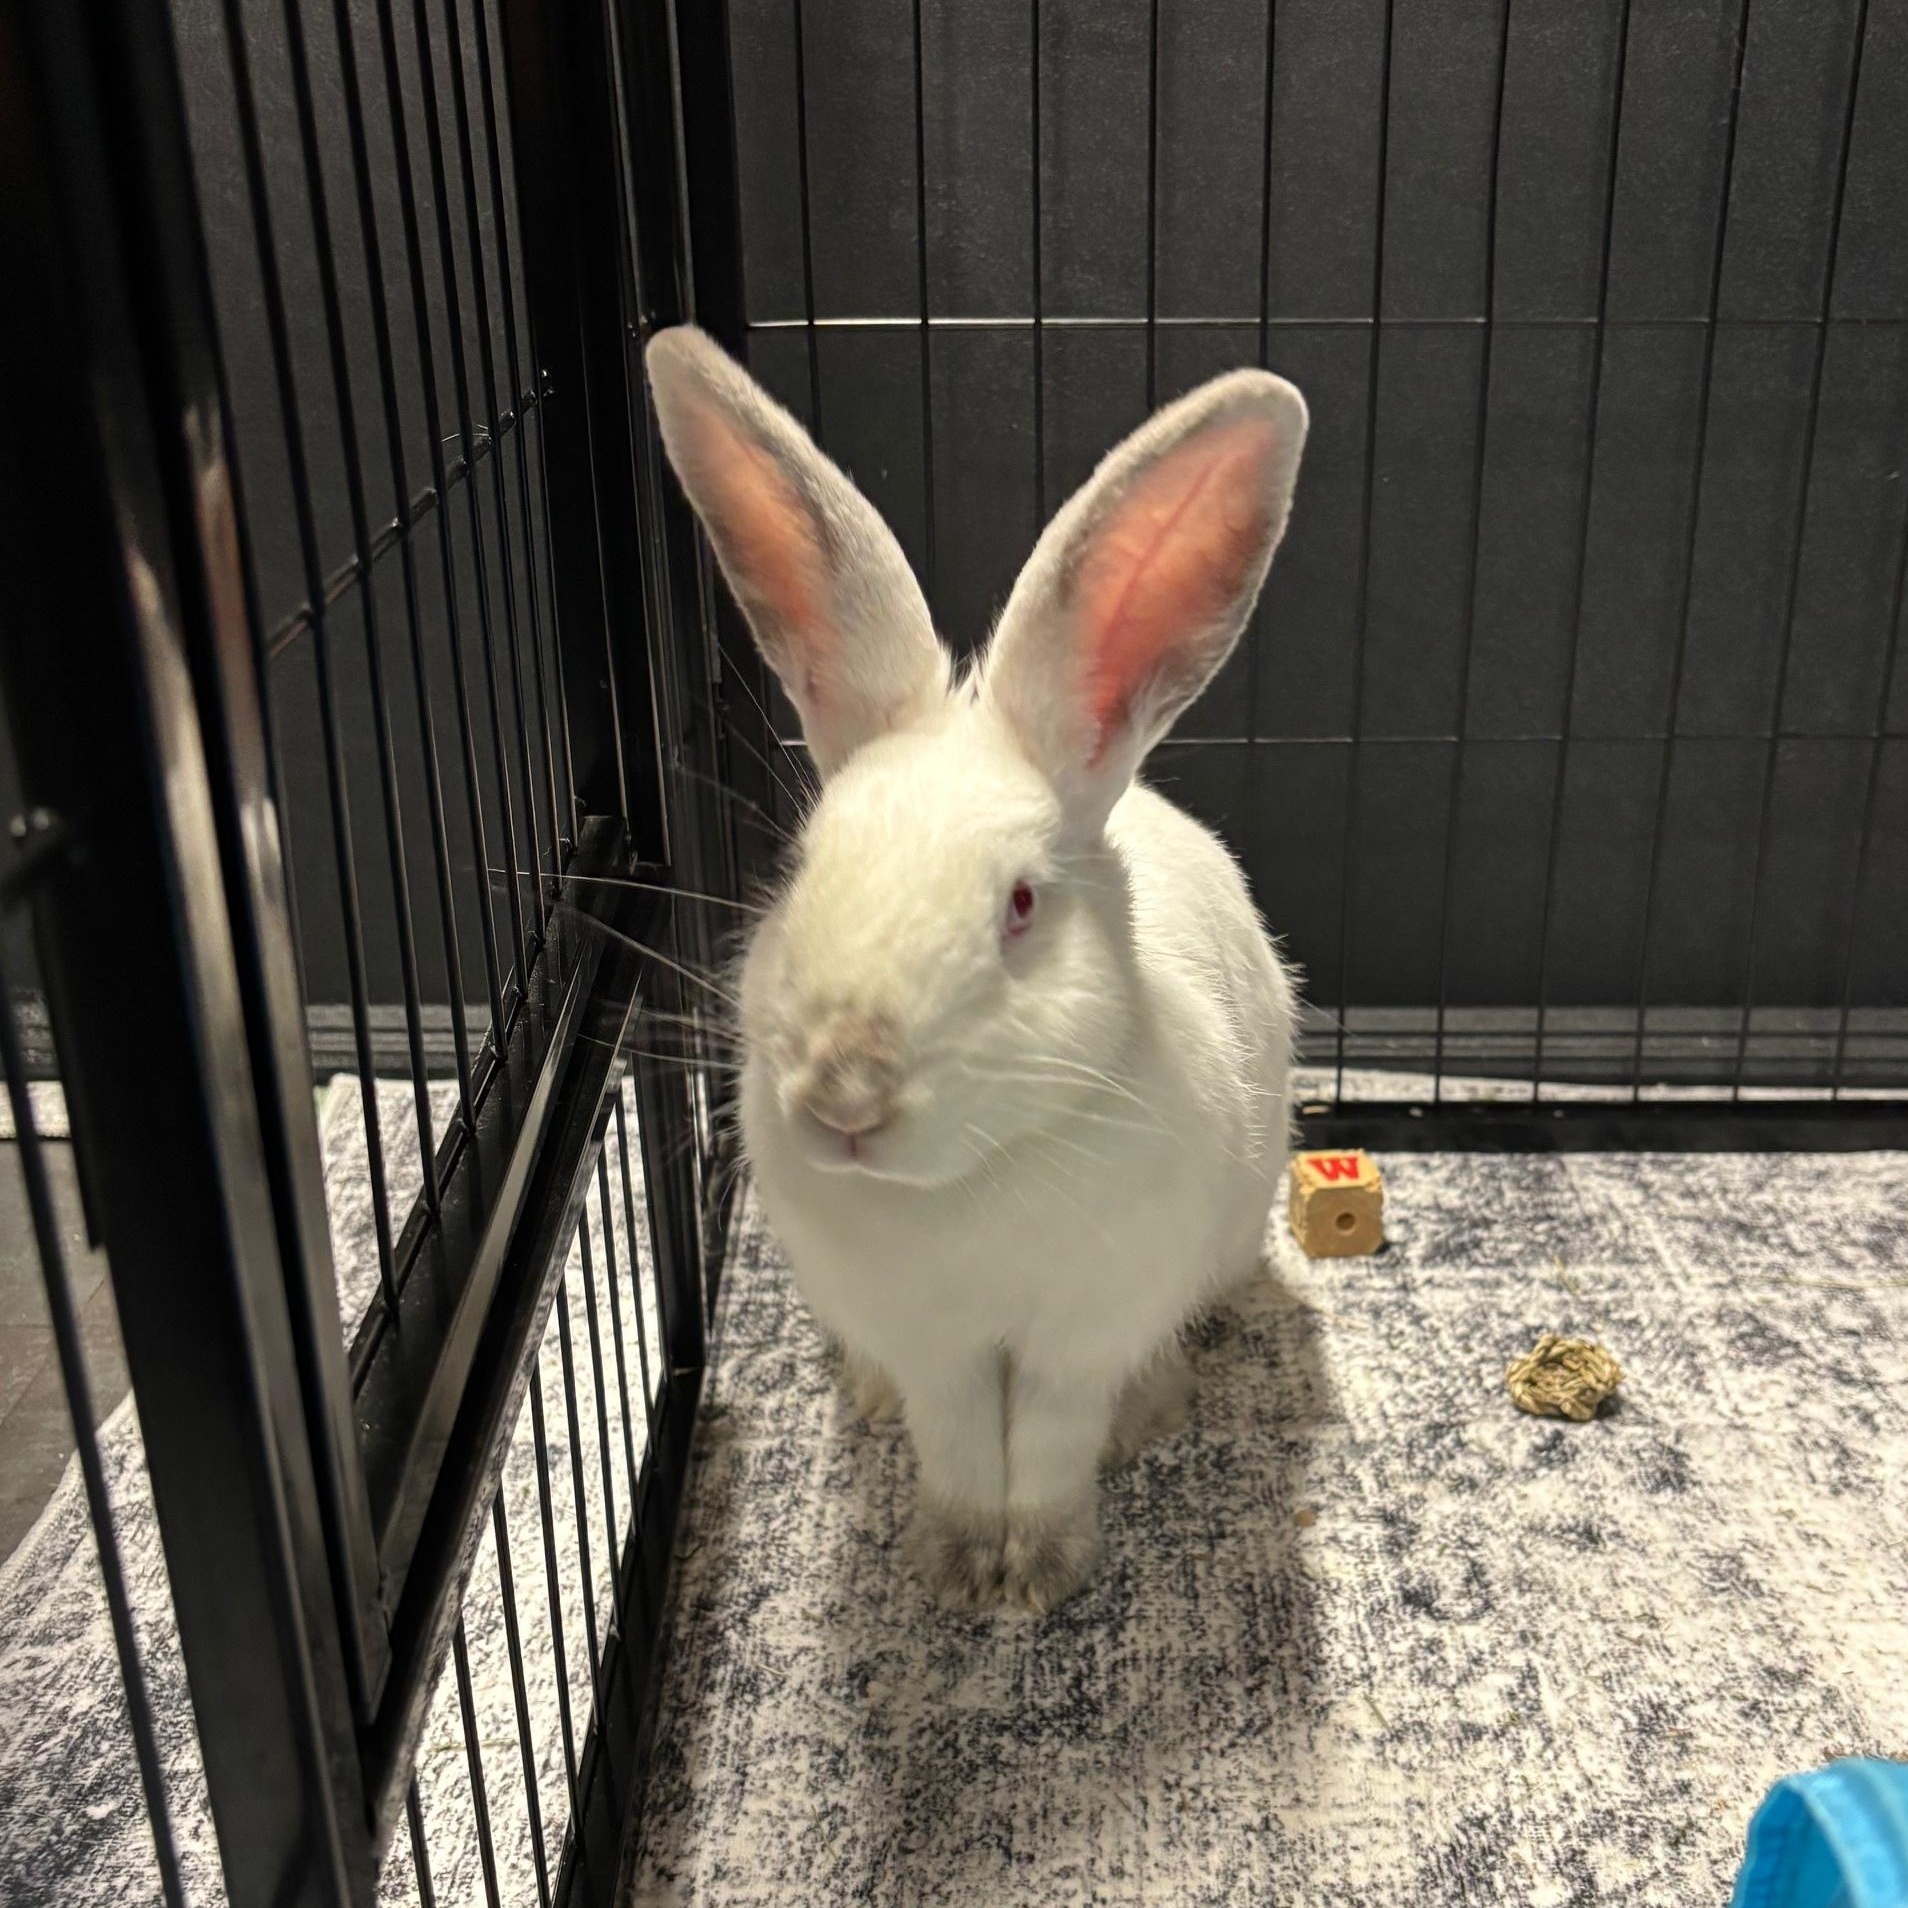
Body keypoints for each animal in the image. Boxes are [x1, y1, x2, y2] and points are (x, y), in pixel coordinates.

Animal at [646, 325, 1307, 1615]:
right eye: (801, 868)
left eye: (1020, 905)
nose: (845, 1096)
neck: (970, 1185)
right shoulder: (932, 1342)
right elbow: (955, 1441)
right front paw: (956, 1570)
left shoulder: (1083, 1330)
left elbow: (1048, 1443)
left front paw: (1037, 1576)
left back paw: (1151, 1412)